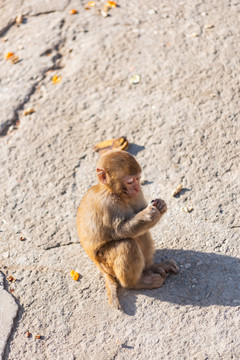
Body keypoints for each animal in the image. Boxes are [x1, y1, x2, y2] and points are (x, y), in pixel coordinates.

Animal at [77, 149, 178, 310]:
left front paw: (160, 205)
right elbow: (120, 230)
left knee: (141, 234)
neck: (116, 193)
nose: (136, 187)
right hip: (105, 262)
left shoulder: (136, 195)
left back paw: (150, 268)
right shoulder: (107, 204)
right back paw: (137, 283)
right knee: (127, 243)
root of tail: (98, 265)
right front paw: (149, 214)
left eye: (138, 179)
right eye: (130, 181)